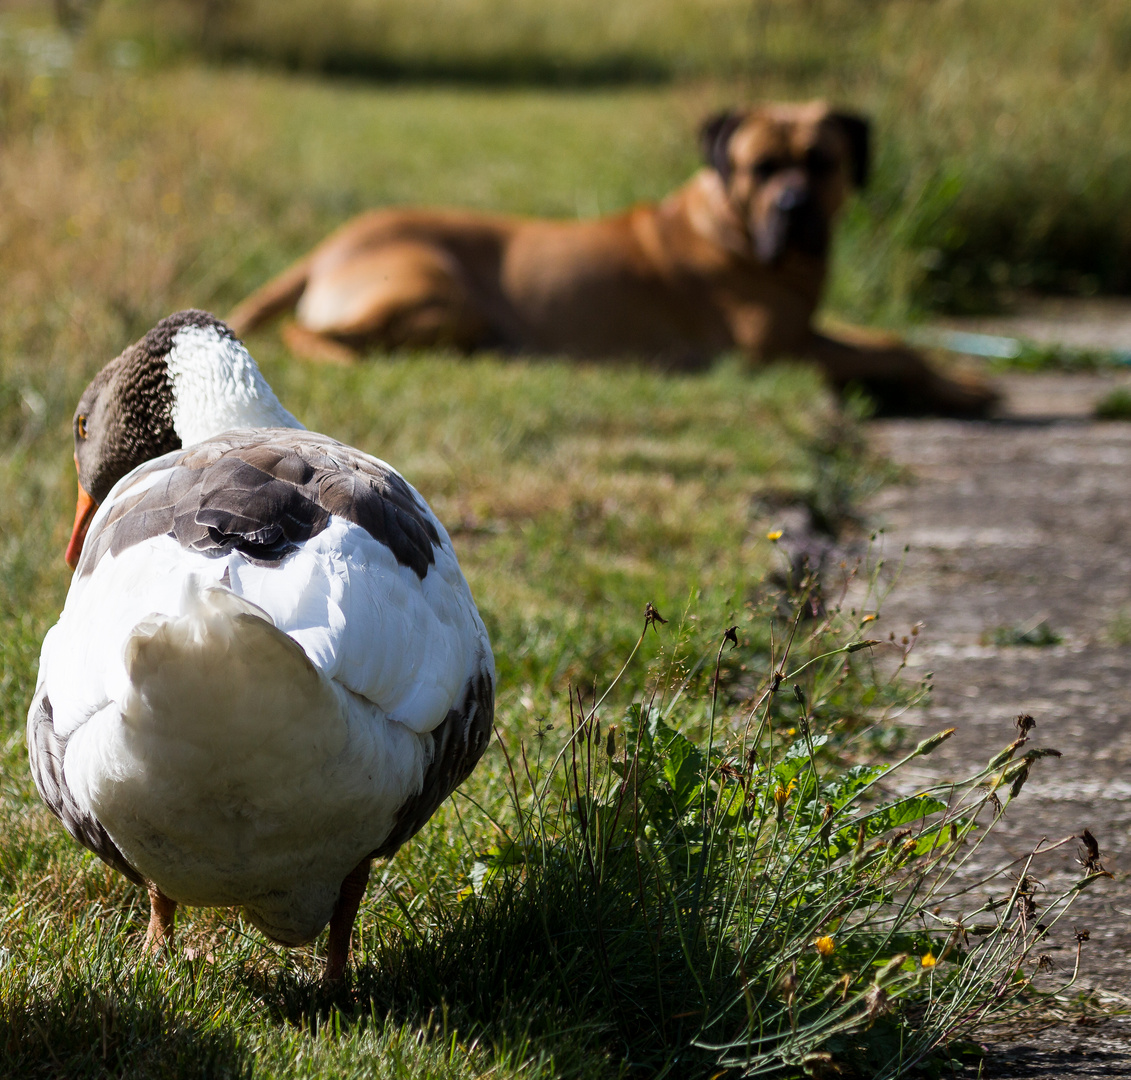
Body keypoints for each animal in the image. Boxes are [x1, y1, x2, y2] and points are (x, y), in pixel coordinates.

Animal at [229, 103, 999, 418]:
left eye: (820, 162)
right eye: (762, 167)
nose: (792, 207)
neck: (730, 226)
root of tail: (328, 245)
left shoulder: (807, 330)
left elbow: (893, 340)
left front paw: (961, 377)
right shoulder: (778, 350)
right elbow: (890, 354)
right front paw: (960, 392)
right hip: (444, 292)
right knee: (308, 335)